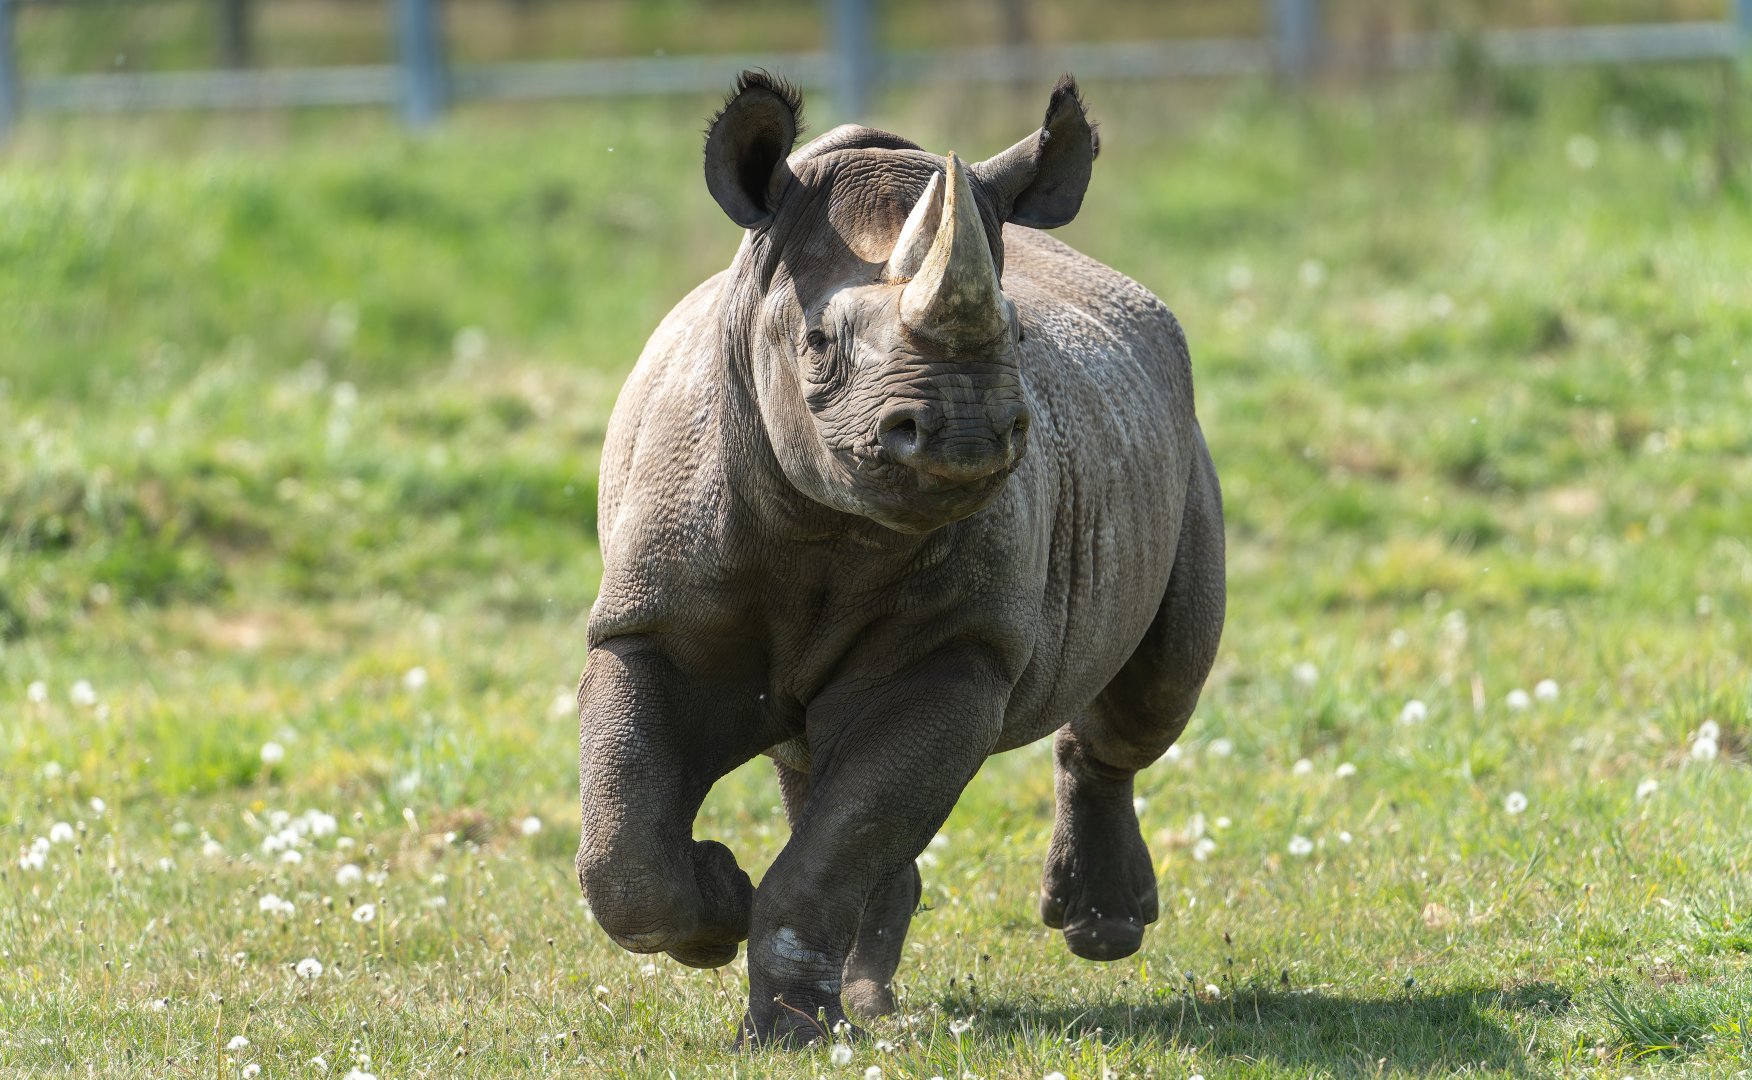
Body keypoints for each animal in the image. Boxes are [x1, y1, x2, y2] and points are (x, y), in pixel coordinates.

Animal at [576, 71, 1225, 1045]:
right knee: (808, 768)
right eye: (817, 346)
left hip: (1182, 450)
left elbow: (847, 837)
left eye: (1020, 340)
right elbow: (624, 852)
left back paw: (1095, 933)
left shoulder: (960, 652)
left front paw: (785, 1031)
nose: (962, 431)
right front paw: (719, 907)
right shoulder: (646, 622)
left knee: (1157, 687)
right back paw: (865, 993)